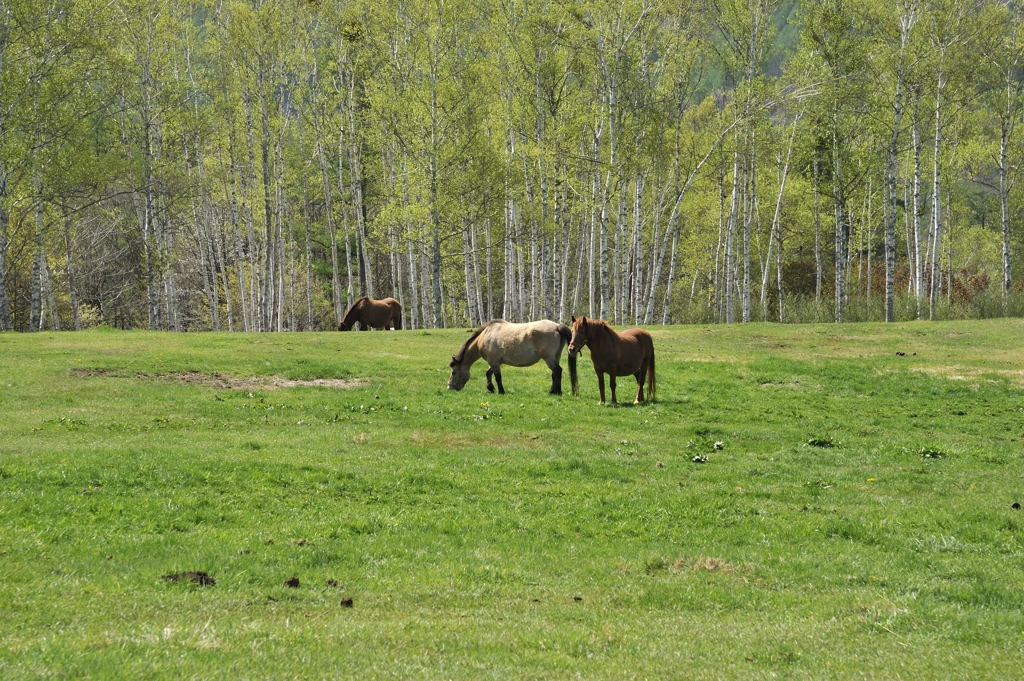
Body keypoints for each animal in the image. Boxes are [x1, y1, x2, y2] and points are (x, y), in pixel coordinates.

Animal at [446, 319, 581, 395]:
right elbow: (488, 373)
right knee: (554, 373)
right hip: (555, 357)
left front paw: (501, 391)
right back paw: (552, 391)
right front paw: (490, 389)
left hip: (549, 358)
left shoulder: (493, 361)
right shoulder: (495, 361)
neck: (484, 336)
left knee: (557, 371)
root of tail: (557, 326)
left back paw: (558, 392)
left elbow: (497, 377)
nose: (449, 387)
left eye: (453, 372)